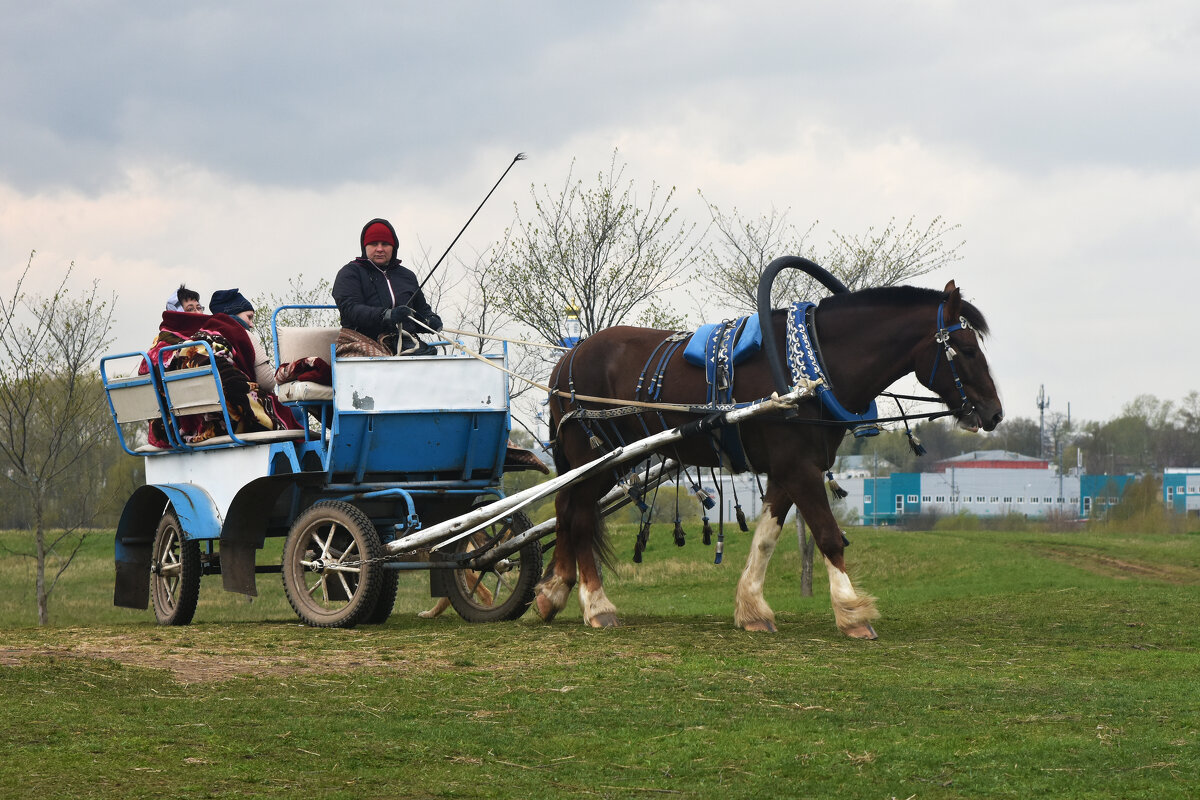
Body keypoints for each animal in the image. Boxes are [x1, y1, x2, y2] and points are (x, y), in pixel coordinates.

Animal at [537, 278, 1003, 642]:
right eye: (964, 348)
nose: (994, 413)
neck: (813, 367)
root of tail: (568, 357)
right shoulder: (800, 469)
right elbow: (828, 536)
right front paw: (852, 612)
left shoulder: (787, 470)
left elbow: (766, 537)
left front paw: (751, 609)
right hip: (595, 456)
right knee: (579, 515)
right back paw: (596, 605)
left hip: (603, 462)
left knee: (565, 508)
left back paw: (554, 590)